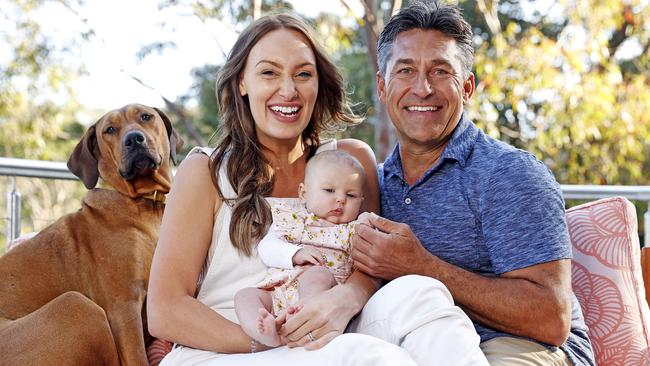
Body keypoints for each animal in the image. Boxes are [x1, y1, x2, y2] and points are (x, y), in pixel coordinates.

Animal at [0, 104, 182, 364]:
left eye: (146, 116)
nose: (134, 139)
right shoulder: (124, 307)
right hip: (78, 305)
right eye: (110, 130)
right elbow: (137, 356)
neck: (145, 205)